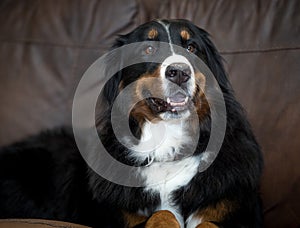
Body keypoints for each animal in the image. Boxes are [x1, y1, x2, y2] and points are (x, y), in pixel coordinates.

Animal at [0, 19, 262, 228]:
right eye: (148, 48)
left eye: (191, 47)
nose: (179, 72)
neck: (168, 140)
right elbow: (163, 213)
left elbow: (209, 223)